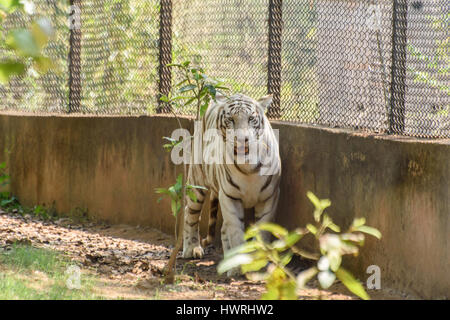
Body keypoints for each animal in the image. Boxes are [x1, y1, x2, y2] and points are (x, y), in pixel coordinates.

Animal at [181, 92, 280, 276]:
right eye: (231, 119)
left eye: (251, 118)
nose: (242, 140)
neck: (249, 167)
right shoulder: (230, 198)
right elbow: (236, 233)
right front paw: (238, 268)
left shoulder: (269, 197)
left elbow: (262, 231)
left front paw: (259, 265)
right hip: (197, 184)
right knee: (189, 214)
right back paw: (192, 248)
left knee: (222, 229)